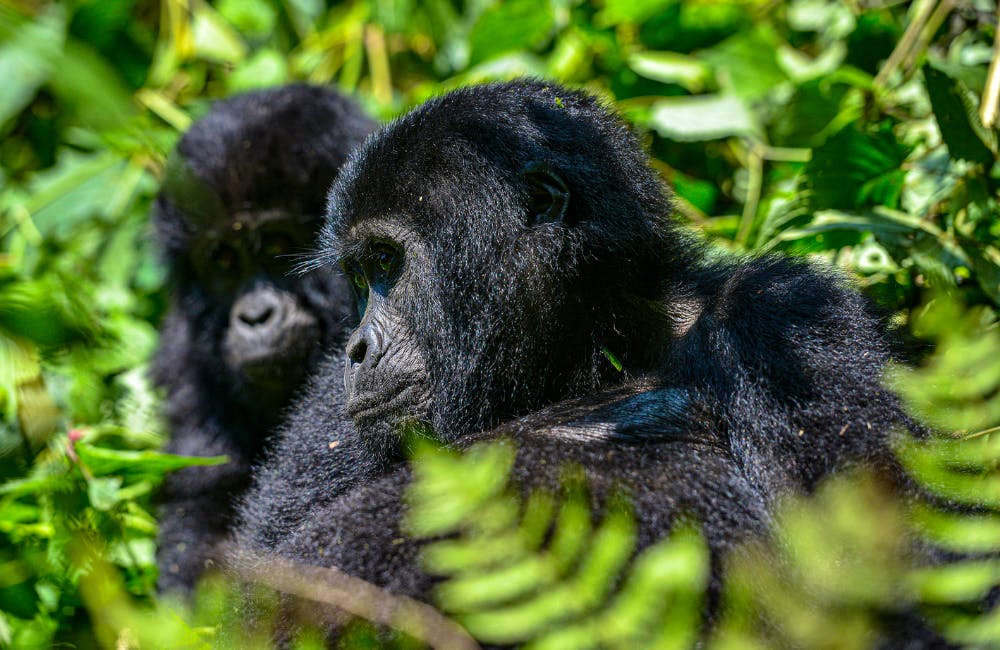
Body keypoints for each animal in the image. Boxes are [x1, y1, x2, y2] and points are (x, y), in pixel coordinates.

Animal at [232, 79, 920, 636]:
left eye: (386, 263)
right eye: (359, 276)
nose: (357, 348)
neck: (590, 345)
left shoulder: (782, 315)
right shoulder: (327, 409)